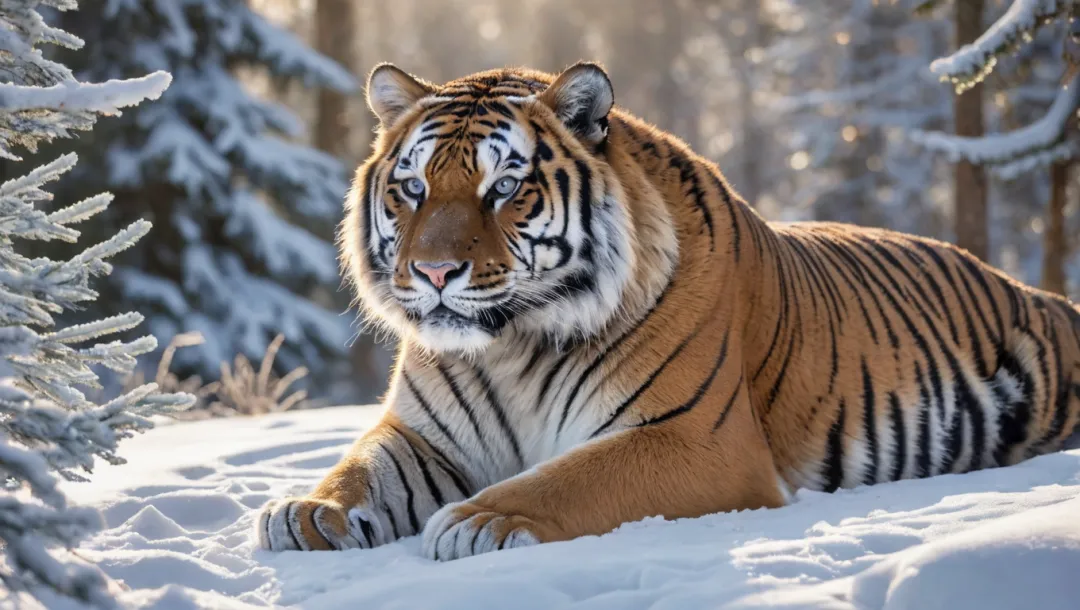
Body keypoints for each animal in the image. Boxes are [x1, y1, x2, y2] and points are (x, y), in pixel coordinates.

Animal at [254, 60, 1080, 557]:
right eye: (414, 188)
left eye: (504, 188)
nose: (431, 271)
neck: (512, 347)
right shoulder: (426, 437)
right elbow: (357, 471)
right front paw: (304, 512)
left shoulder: (696, 438)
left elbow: (570, 479)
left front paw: (479, 520)